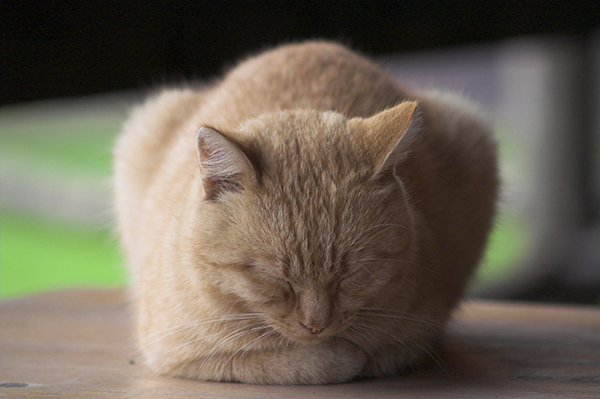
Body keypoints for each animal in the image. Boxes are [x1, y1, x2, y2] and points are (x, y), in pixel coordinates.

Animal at [115, 39, 500, 384]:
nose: (316, 325)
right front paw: (334, 355)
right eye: (274, 278)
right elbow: (293, 363)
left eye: (351, 274)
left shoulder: (421, 328)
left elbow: (383, 348)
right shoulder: (178, 350)